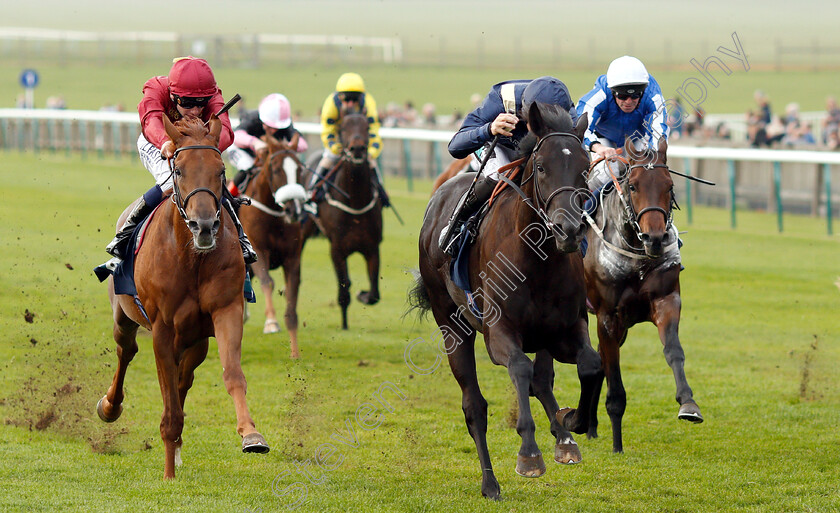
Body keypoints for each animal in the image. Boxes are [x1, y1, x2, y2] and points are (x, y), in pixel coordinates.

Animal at [97, 114, 270, 478]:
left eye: (221, 170)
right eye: (178, 170)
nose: (203, 226)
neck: (192, 257)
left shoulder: (226, 310)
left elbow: (232, 374)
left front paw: (251, 435)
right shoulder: (162, 327)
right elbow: (168, 402)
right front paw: (168, 474)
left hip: (196, 341)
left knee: (183, 378)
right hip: (124, 316)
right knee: (126, 351)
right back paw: (110, 406)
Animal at [238, 132, 306, 356]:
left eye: (299, 169)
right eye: (276, 170)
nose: (294, 210)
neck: (274, 216)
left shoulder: (292, 258)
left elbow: (291, 299)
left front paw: (295, 352)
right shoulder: (259, 251)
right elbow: (267, 282)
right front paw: (271, 322)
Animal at [310, 111, 386, 328]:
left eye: (367, 127)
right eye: (343, 128)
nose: (358, 148)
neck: (356, 203)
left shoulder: (372, 248)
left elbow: (374, 293)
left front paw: (363, 294)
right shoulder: (337, 250)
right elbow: (344, 288)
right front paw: (344, 325)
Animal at [410, 102, 600, 498]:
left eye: (584, 167)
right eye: (541, 167)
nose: (568, 229)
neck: (538, 261)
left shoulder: (567, 327)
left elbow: (589, 364)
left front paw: (572, 421)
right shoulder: (498, 332)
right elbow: (519, 369)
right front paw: (529, 454)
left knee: (541, 381)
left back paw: (563, 438)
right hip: (451, 325)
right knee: (474, 406)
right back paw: (490, 482)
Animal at [584, 137, 704, 452]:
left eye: (669, 186)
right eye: (634, 186)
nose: (655, 238)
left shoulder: (666, 300)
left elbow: (674, 351)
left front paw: (688, 404)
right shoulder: (607, 316)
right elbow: (613, 378)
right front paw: (617, 444)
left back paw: (588, 425)